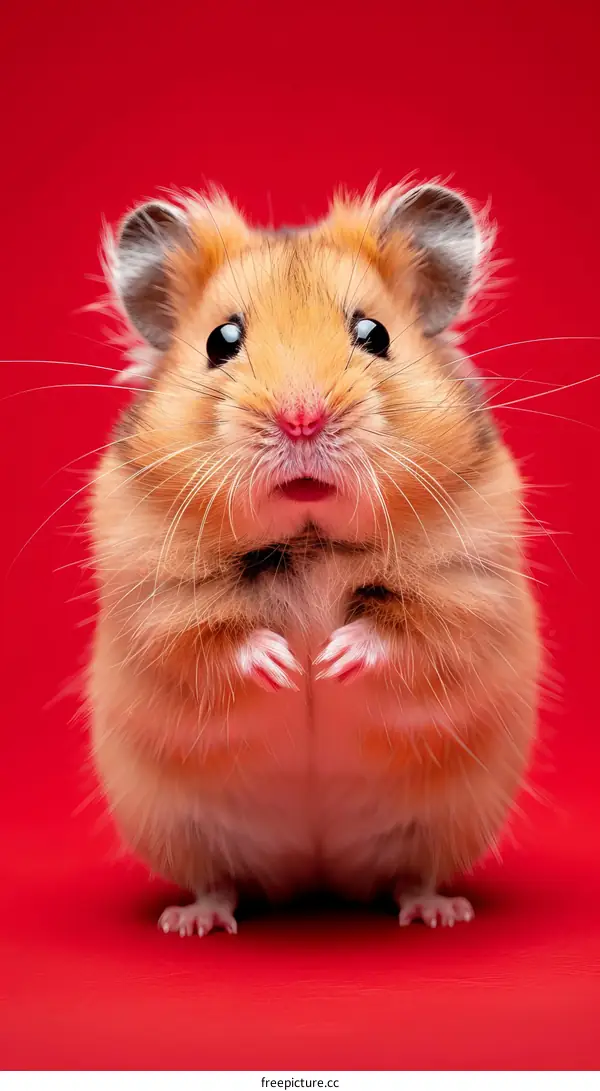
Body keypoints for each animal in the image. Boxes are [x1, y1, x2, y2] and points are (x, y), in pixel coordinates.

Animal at [88, 182, 540, 936]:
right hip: (181, 829)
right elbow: (211, 640)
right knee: (218, 880)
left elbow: (408, 633)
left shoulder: (466, 587)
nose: (301, 419)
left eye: (374, 334)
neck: (310, 540)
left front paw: (328, 660)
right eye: (221, 340)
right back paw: (194, 920)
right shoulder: (156, 599)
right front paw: (286, 665)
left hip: (447, 821)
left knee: (412, 874)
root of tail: (314, 875)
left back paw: (438, 911)